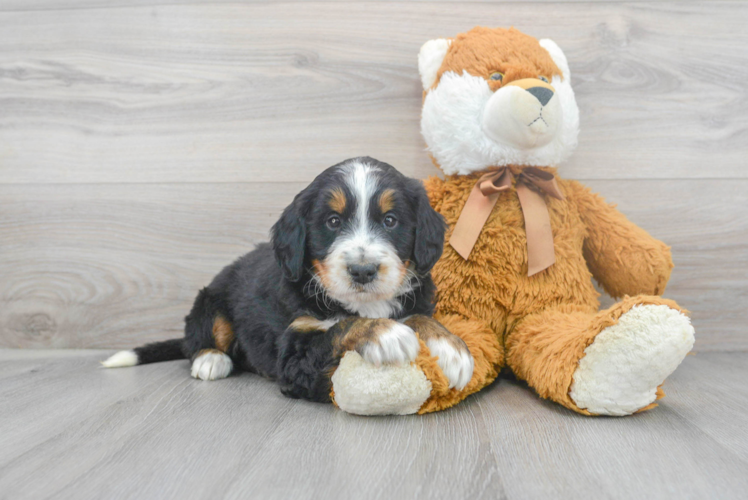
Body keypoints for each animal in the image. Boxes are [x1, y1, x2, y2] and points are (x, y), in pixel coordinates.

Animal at [103, 158, 474, 404]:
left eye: (390, 220)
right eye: (333, 221)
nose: (363, 270)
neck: (364, 303)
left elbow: (419, 316)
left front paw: (451, 348)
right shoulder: (296, 353)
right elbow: (342, 327)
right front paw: (386, 334)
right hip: (210, 299)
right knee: (199, 336)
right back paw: (211, 359)